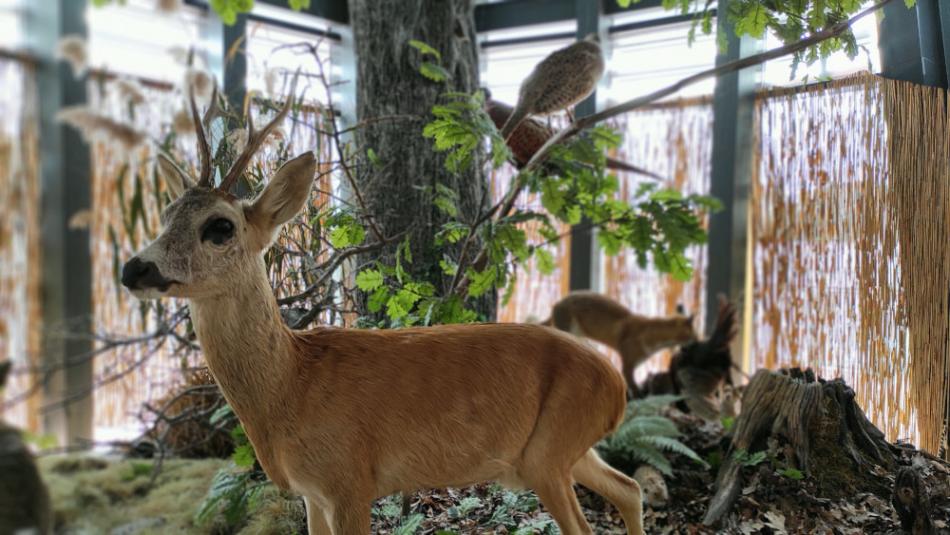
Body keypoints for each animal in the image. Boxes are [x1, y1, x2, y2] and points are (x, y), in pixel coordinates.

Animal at [115, 86, 644, 532]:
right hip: (566, 449)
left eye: (220, 226)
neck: (291, 386)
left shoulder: (349, 480)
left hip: (547, 457)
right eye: (166, 215)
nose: (133, 268)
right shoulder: (312, 493)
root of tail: (617, 389)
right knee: (630, 487)